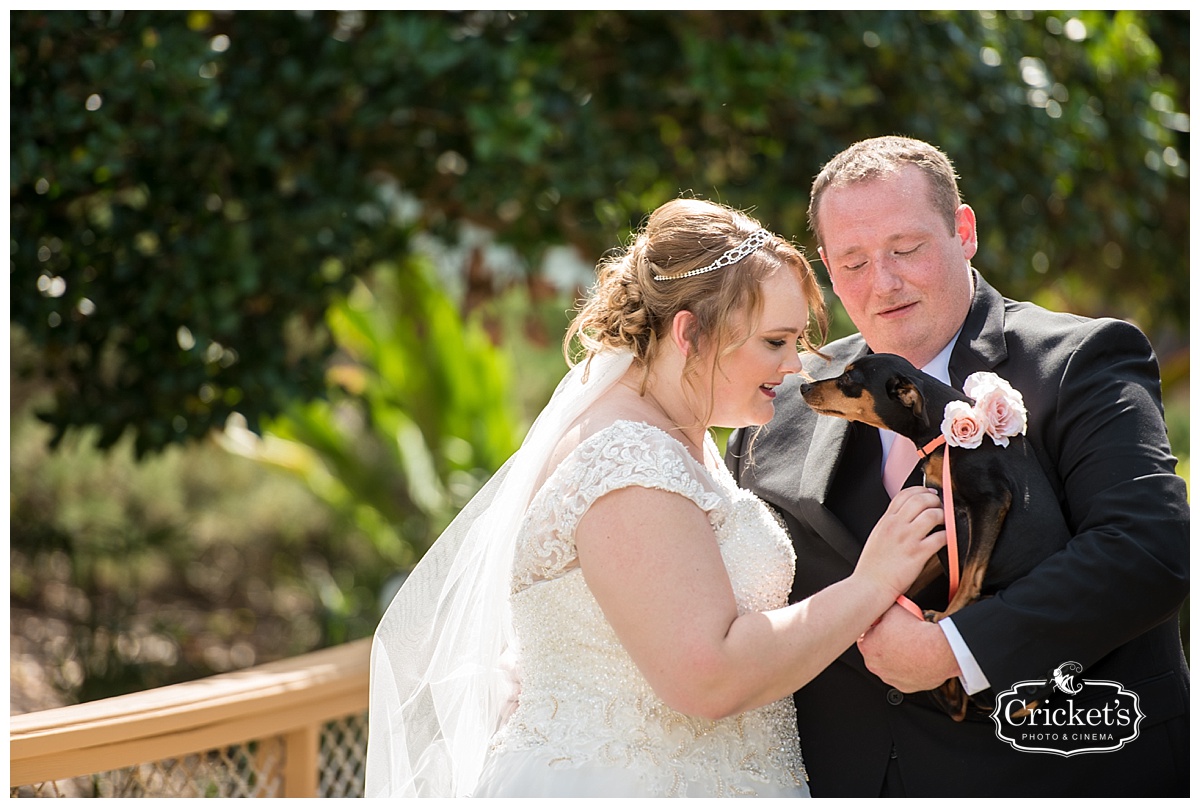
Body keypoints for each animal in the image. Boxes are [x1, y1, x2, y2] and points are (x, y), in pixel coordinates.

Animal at [801, 352, 1065, 720]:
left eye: (850, 379)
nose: (802, 387)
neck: (938, 431)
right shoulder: (944, 530)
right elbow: (914, 578)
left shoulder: (991, 500)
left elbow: (970, 575)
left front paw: (945, 615)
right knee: (956, 704)